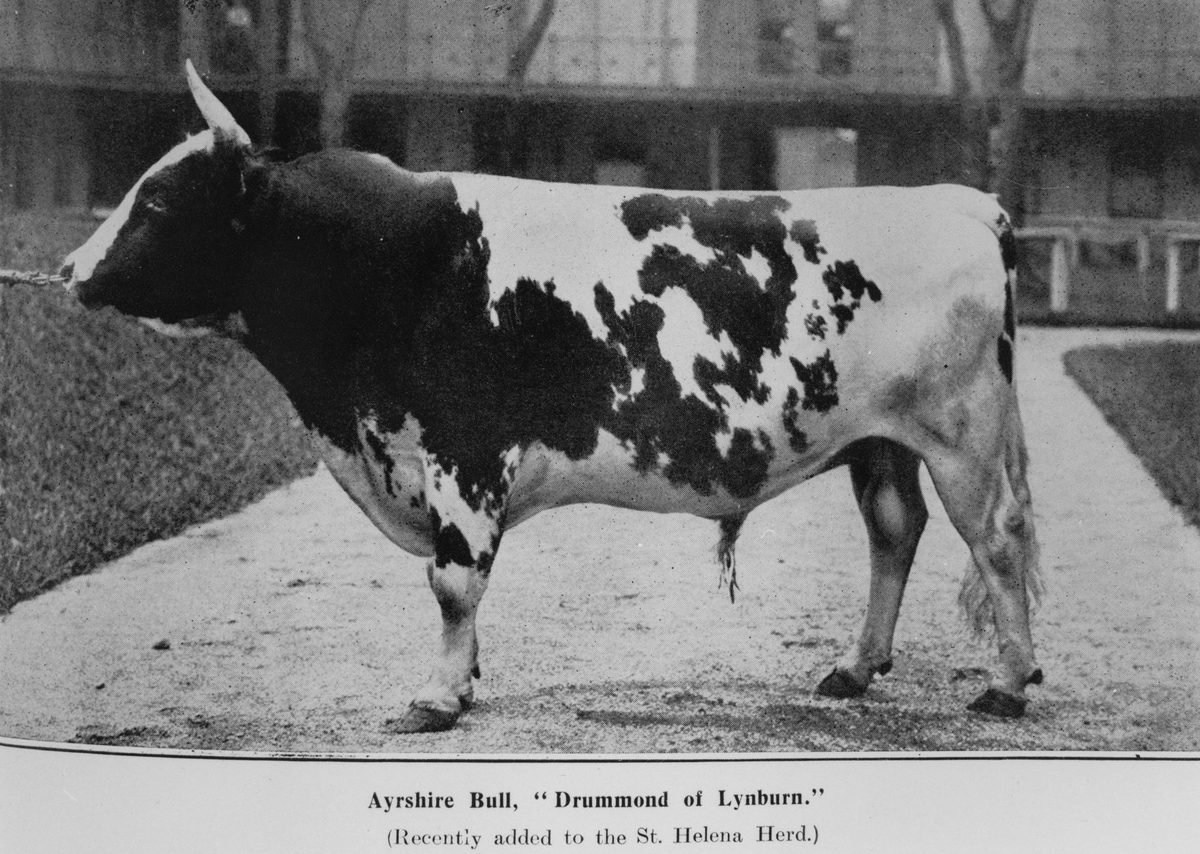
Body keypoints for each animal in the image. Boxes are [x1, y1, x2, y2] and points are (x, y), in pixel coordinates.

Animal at [61, 62, 1043, 733]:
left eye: (156, 202)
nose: (69, 270)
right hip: (880, 439)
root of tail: (961, 201)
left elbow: (453, 579)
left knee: (994, 539)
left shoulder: (461, 452)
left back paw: (1005, 684)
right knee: (894, 532)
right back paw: (854, 666)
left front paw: (437, 696)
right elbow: (456, 587)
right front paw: (465, 681)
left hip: (959, 433)